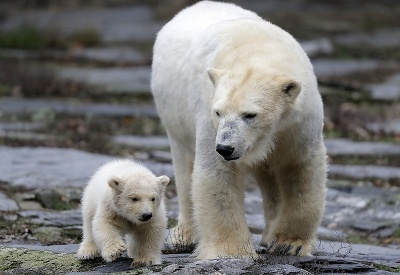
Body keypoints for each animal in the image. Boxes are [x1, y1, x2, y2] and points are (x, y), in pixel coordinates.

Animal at [152, 0, 326, 260]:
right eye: (218, 112)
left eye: (250, 114)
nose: (225, 147)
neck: (257, 49)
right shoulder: (208, 111)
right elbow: (217, 175)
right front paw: (232, 252)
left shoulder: (298, 121)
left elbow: (300, 168)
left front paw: (289, 243)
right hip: (175, 118)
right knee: (184, 169)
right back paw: (184, 236)